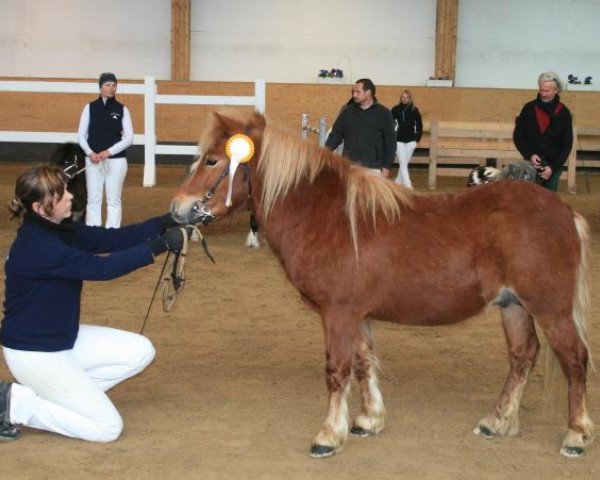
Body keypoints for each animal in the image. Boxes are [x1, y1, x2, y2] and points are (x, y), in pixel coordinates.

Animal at [171, 109, 592, 458]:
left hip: (550, 310)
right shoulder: (358, 314)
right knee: (523, 356)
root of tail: (564, 212)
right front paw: (368, 420)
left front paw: (328, 435)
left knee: (574, 359)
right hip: (513, 306)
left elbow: (337, 370)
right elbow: (363, 362)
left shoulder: (338, 313)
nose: (178, 209)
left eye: (212, 160)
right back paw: (497, 421)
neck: (327, 216)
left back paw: (576, 435)